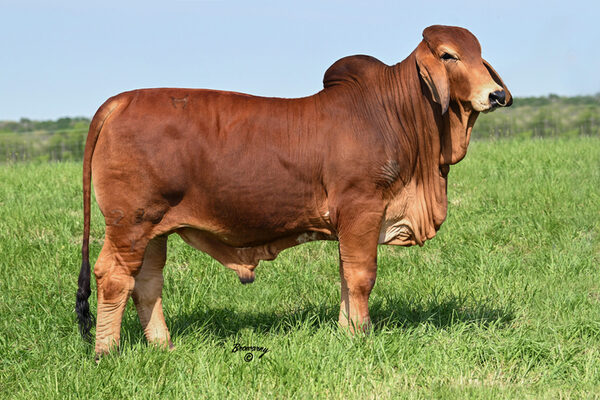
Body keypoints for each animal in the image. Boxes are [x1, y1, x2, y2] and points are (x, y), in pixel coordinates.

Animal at [76, 25, 510, 356]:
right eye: (449, 55)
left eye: (479, 54)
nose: (496, 95)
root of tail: (121, 101)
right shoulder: (362, 208)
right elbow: (361, 276)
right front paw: (361, 334)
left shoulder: (350, 224)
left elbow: (344, 274)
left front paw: (346, 330)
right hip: (129, 224)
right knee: (114, 277)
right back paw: (107, 352)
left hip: (153, 230)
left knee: (147, 283)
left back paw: (162, 346)